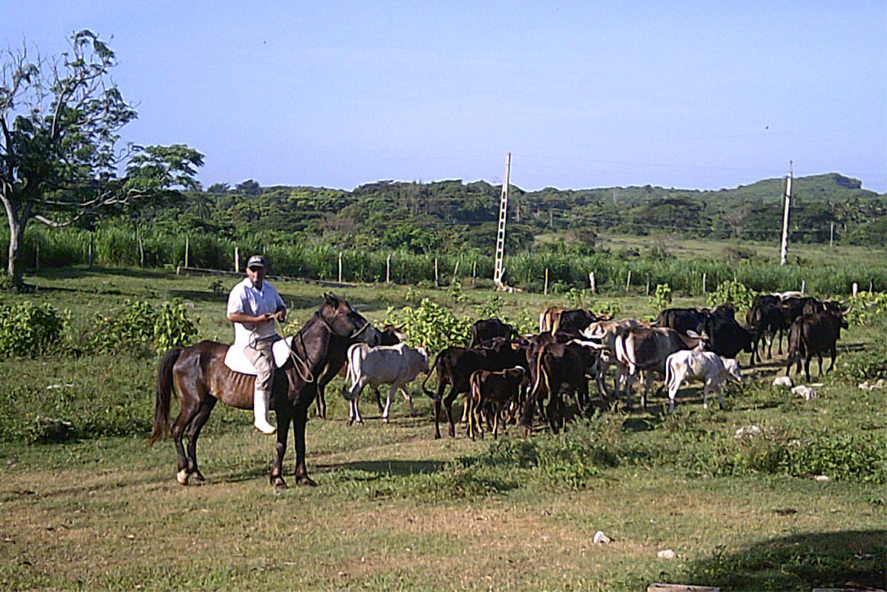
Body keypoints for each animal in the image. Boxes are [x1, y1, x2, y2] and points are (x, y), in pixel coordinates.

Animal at [149, 294, 378, 488]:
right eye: (349, 314)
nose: (375, 336)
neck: (299, 361)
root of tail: (184, 351)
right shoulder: (285, 412)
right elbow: (281, 444)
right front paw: (277, 478)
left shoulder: (300, 411)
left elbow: (300, 444)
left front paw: (303, 478)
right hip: (191, 403)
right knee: (177, 430)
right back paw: (182, 474)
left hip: (206, 404)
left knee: (191, 434)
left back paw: (196, 473)